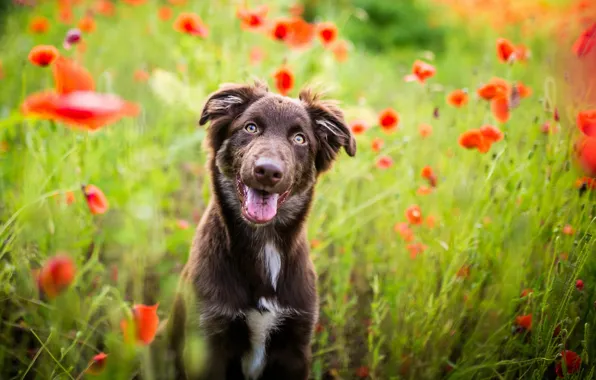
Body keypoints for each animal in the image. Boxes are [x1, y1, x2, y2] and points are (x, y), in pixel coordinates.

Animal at [165, 80, 356, 380]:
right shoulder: (207, 342)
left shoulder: (296, 348)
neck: (264, 242)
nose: (267, 171)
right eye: (251, 127)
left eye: (299, 139)